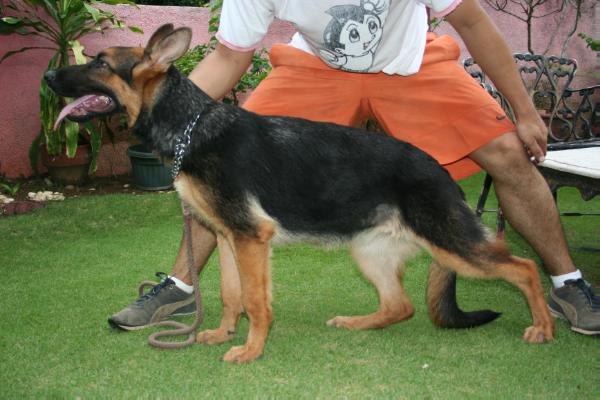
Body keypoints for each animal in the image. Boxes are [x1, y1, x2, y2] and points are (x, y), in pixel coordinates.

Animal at [44, 24, 556, 362]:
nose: (48, 79)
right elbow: (230, 294)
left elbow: (255, 301)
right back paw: (355, 323)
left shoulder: (251, 239)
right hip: (370, 252)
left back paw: (544, 326)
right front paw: (223, 334)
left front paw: (250, 351)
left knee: (526, 268)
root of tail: (439, 171)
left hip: (452, 245)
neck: (192, 126)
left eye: (100, 63)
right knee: (401, 306)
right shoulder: (230, 238)